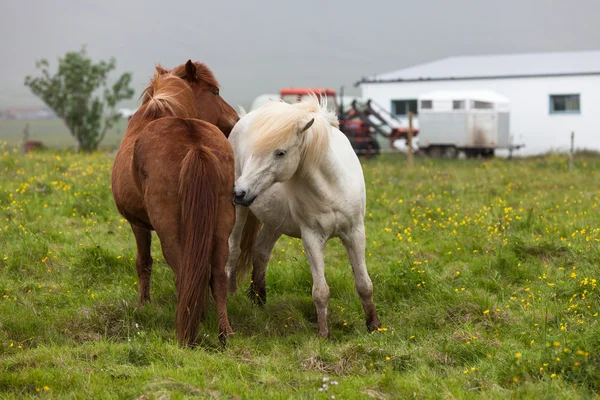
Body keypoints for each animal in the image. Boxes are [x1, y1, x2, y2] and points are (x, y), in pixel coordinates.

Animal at [111, 60, 238, 346]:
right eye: (215, 92)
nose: (236, 120)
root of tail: (195, 145)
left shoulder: (138, 224)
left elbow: (143, 262)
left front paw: (143, 304)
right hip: (222, 225)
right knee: (217, 276)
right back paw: (224, 332)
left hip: (169, 232)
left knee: (183, 275)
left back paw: (185, 332)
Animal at [225, 95, 380, 336]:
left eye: (280, 152)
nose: (239, 192)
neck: (332, 186)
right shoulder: (312, 237)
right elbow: (321, 291)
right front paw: (324, 334)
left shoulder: (355, 233)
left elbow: (364, 284)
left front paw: (373, 326)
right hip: (240, 213)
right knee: (234, 252)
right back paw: (231, 297)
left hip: (274, 223)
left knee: (260, 252)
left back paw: (259, 302)